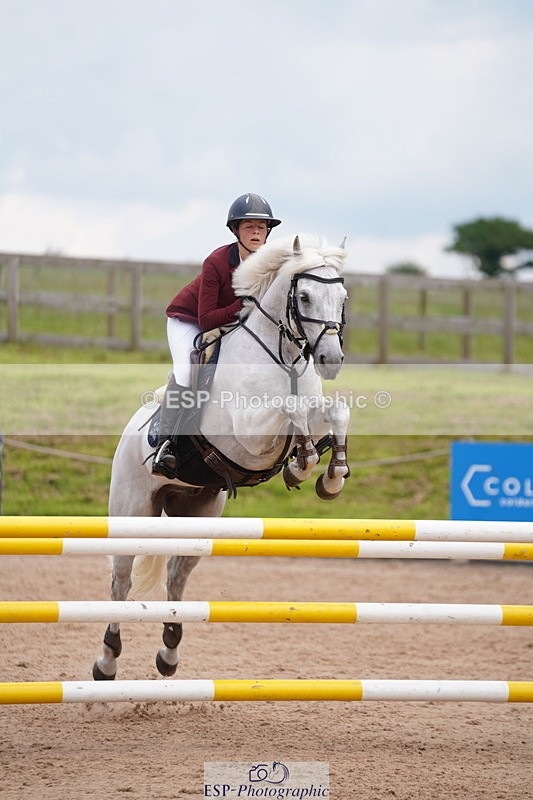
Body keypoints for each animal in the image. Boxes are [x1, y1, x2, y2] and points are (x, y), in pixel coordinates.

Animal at [92, 234, 351, 681]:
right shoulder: (248, 431)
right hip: (131, 509)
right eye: (303, 296)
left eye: (342, 298)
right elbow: (290, 409)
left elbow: (335, 412)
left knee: (177, 575)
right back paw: (107, 661)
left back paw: (169, 652)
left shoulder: (316, 412)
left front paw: (328, 474)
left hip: (198, 510)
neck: (281, 355)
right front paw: (302, 463)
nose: (330, 361)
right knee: (121, 579)